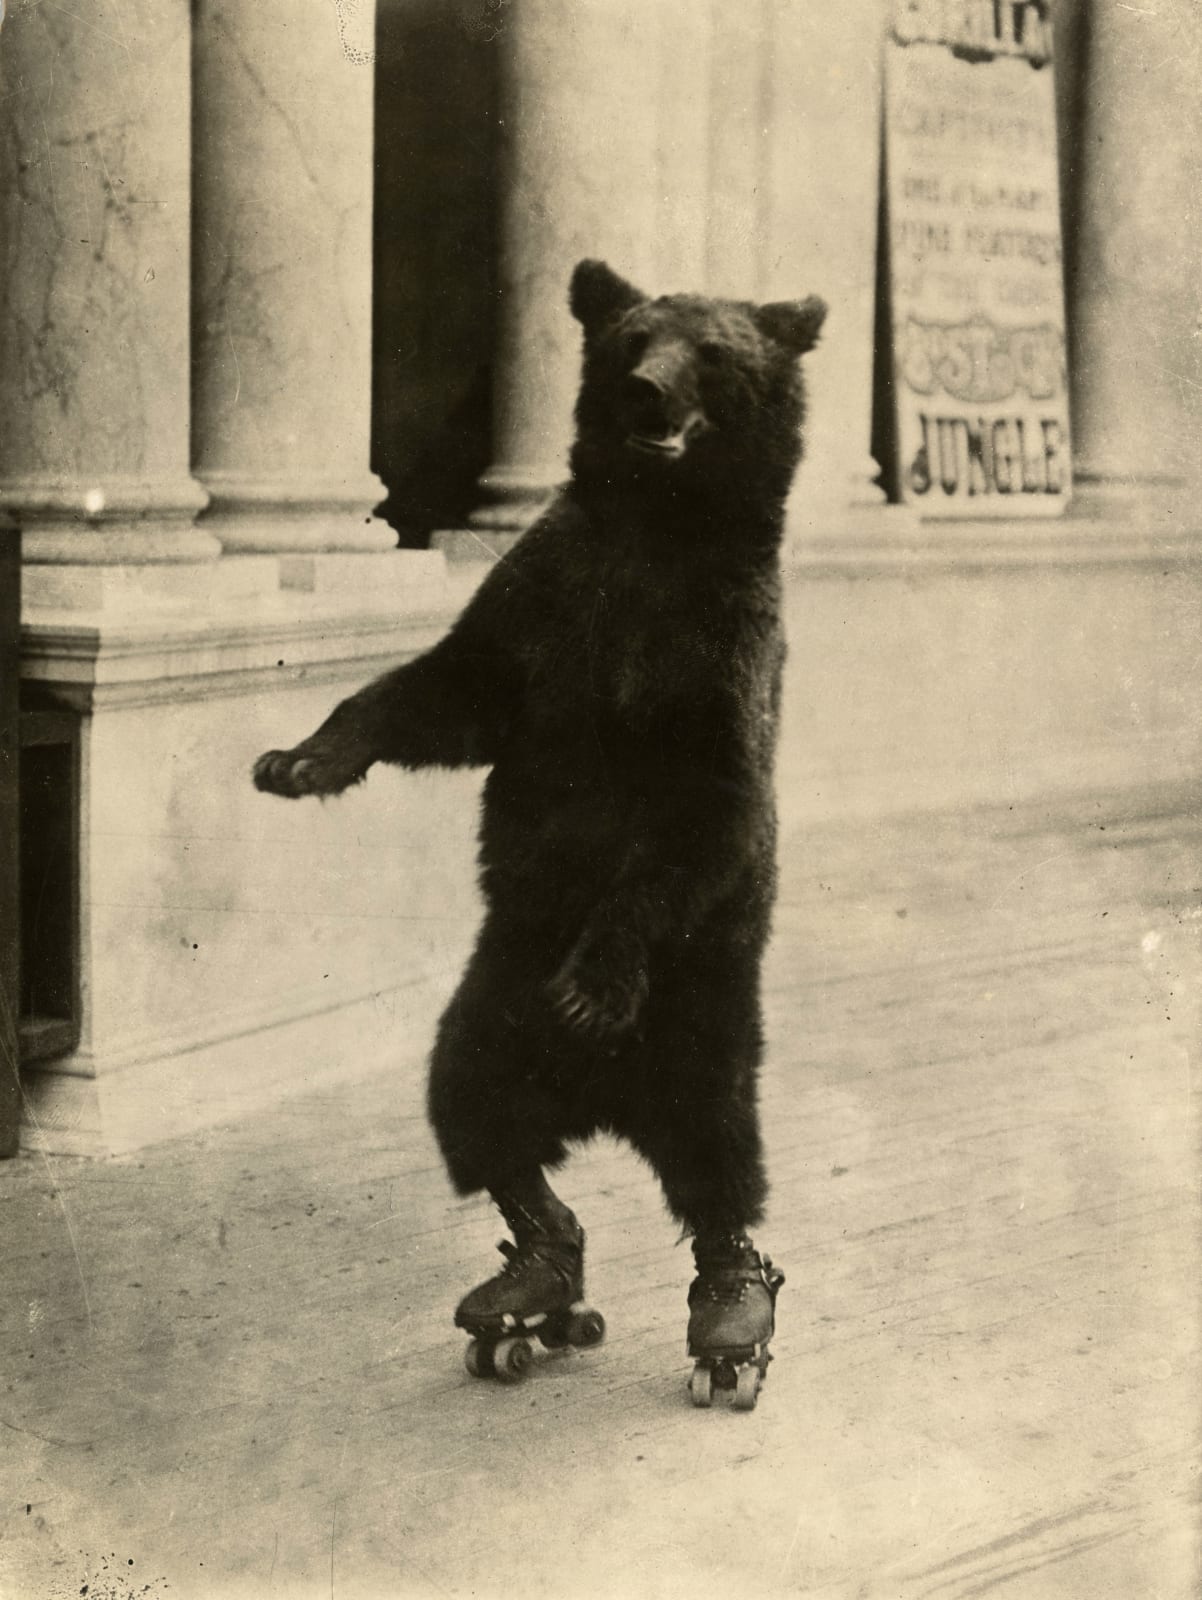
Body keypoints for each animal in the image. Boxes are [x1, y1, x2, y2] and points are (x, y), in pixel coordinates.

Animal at [254, 259, 826, 1404]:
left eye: (712, 354)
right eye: (631, 341)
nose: (645, 392)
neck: (654, 525)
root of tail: (605, 1102)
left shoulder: (719, 641)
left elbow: (700, 803)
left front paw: (594, 979)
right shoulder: (546, 593)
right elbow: (448, 690)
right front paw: (298, 760)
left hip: (703, 1005)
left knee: (719, 1156)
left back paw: (730, 1312)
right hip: (494, 997)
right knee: (474, 1110)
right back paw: (533, 1284)